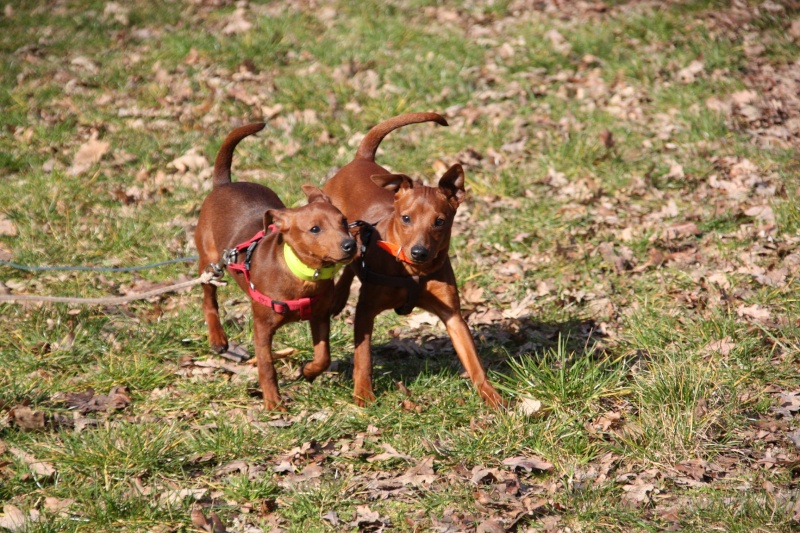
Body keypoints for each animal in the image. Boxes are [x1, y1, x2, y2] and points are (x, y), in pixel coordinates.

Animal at [195, 122, 354, 410]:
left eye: (344, 221)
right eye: (315, 229)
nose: (350, 245)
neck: (302, 275)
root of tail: (225, 184)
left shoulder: (319, 316)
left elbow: (323, 356)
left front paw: (308, 371)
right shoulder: (262, 328)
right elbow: (267, 366)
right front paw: (273, 402)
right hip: (209, 260)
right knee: (208, 298)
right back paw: (218, 338)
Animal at [324, 112, 500, 408]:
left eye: (439, 222)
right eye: (405, 218)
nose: (419, 252)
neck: (411, 270)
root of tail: (362, 159)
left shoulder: (453, 316)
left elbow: (473, 361)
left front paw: (492, 396)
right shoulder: (365, 311)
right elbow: (363, 355)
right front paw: (363, 393)